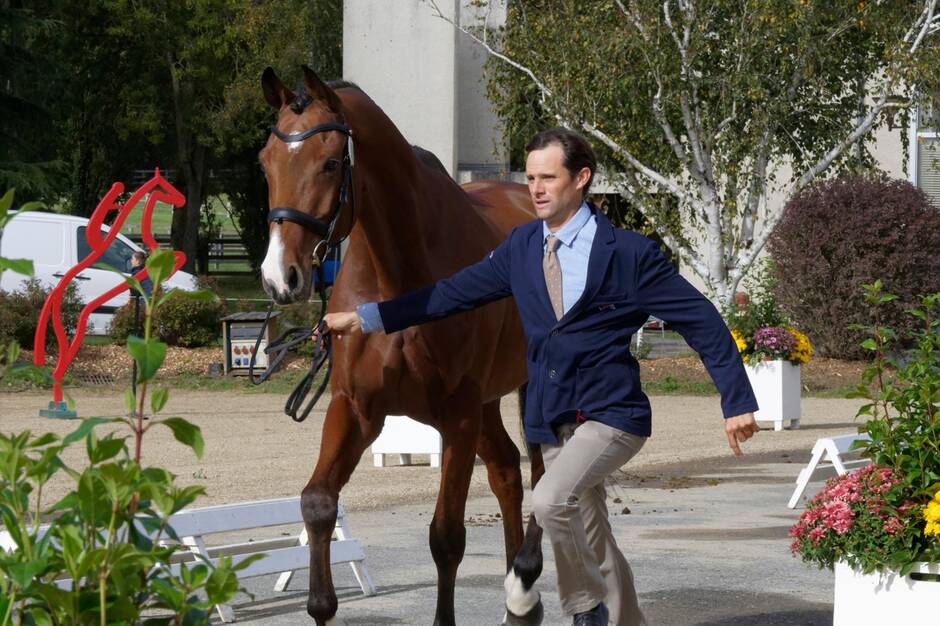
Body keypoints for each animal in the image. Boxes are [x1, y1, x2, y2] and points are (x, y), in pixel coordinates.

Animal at [260, 66, 548, 620]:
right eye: (265, 162)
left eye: (331, 162)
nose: (279, 277)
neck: (400, 276)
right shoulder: (356, 407)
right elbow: (317, 503)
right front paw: (321, 604)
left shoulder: (457, 416)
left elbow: (447, 537)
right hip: (488, 403)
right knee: (506, 471)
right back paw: (516, 600)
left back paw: (528, 581)